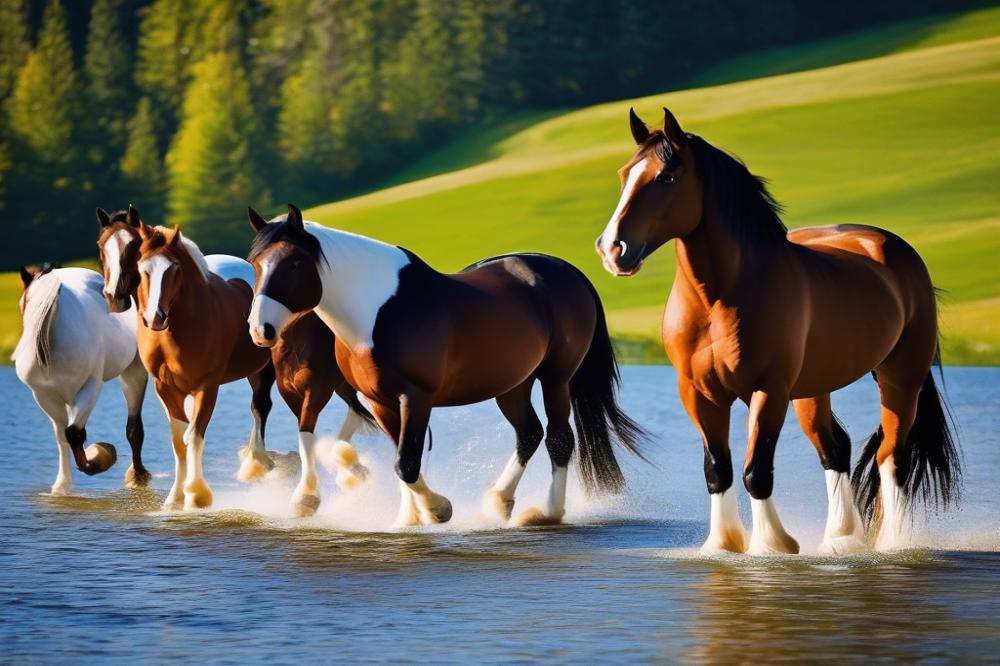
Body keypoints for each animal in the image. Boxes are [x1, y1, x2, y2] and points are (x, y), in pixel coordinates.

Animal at [14, 264, 148, 492]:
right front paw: (61, 486)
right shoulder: (44, 396)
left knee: (134, 429)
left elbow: (73, 433)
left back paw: (137, 476)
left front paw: (100, 457)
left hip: (134, 373)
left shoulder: (91, 388)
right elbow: (63, 436)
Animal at [98, 205, 376, 510]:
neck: (179, 327)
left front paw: (197, 494)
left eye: (174, 269)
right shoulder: (165, 387)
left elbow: (194, 436)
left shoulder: (207, 386)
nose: (115, 296)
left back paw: (261, 462)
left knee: (263, 406)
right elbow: (179, 439)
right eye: (102, 247)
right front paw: (174, 499)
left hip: (265, 372)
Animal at [246, 205, 644, 528]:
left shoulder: (416, 397)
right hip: (514, 384)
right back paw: (499, 501)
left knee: (559, 439)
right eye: (255, 264)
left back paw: (546, 513)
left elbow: (406, 463)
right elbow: (401, 458)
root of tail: (566, 271)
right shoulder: (380, 401)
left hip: (556, 378)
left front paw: (438, 509)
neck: (376, 311)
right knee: (529, 434)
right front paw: (408, 519)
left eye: (294, 263)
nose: (260, 330)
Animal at [592, 109, 960, 552]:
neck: (719, 300)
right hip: (813, 389)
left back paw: (891, 543)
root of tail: (895, 251)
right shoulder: (698, 392)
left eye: (666, 177)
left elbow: (756, 469)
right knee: (835, 448)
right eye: (623, 173)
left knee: (893, 456)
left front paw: (772, 545)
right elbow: (717, 468)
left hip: (899, 378)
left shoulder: (769, 389)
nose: (612, 249)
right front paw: (723, 544)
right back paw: (840, 540)